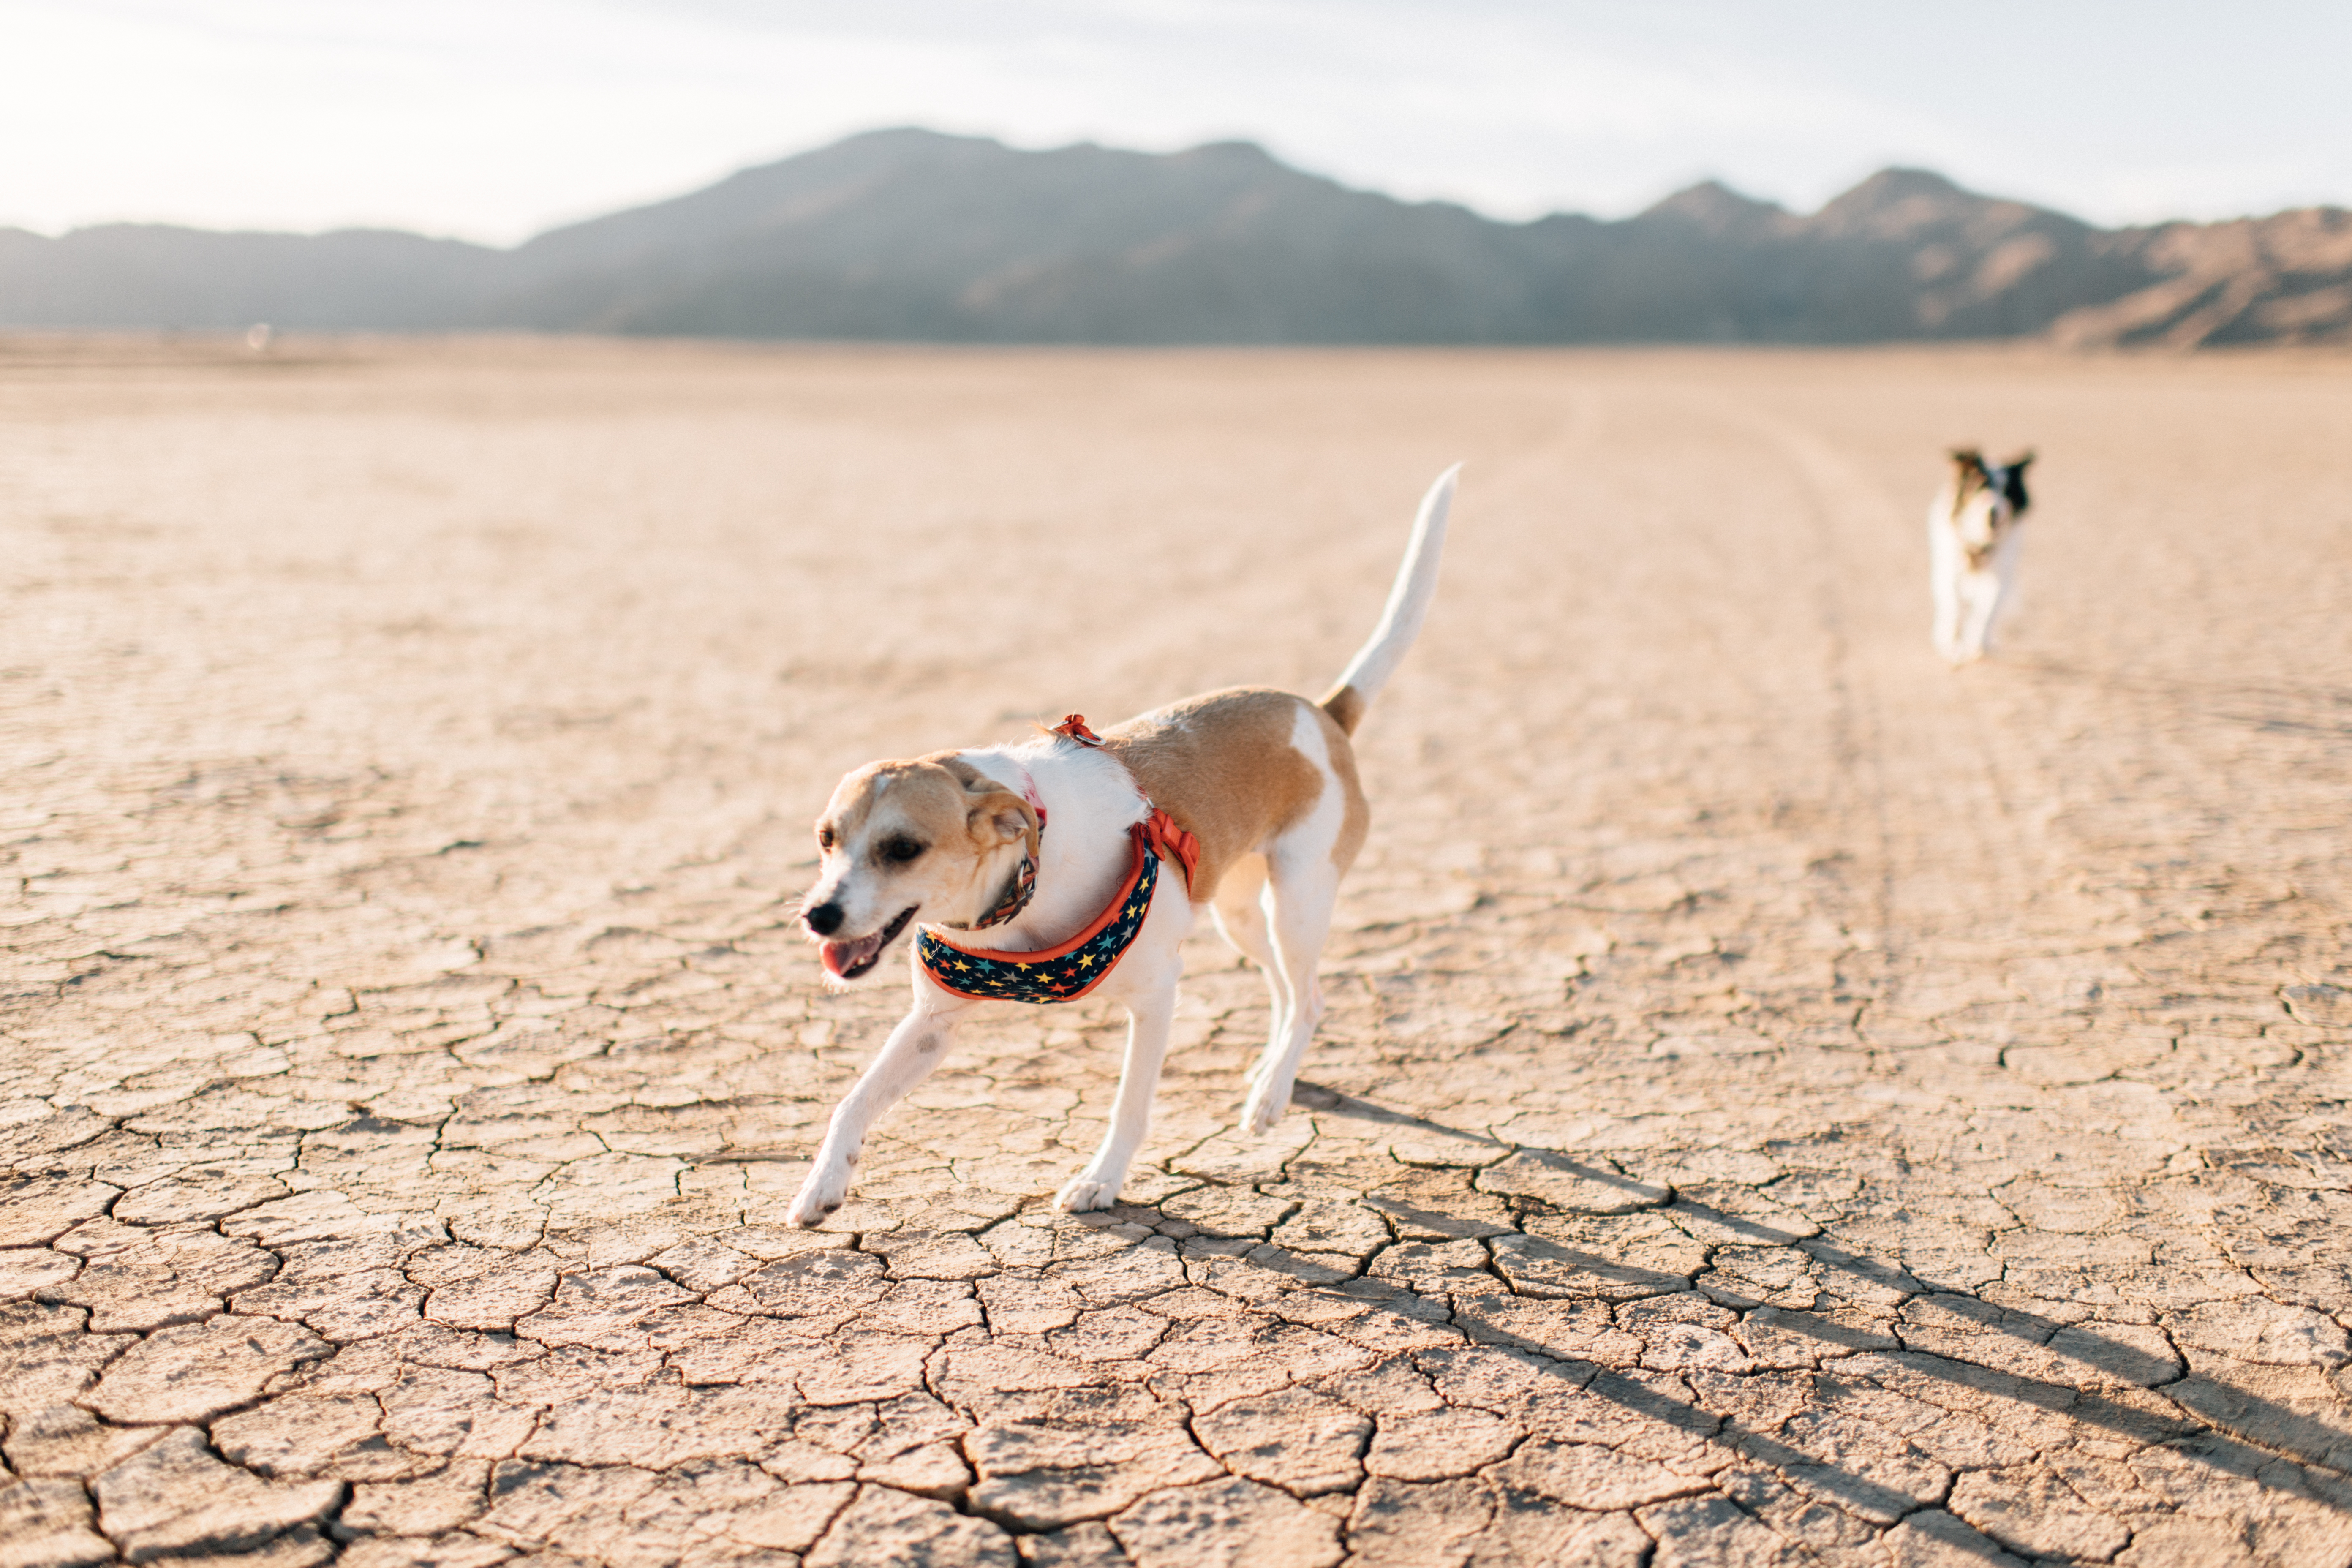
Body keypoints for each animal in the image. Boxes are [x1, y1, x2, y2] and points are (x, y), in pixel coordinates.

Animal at [785, 465, 1448, 1222]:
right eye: (826, 839)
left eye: (902, 848)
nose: (818, 916)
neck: (1027, 878)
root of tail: (1321, 711)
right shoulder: (933, 1023)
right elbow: (851, 1101)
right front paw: (822, 1186)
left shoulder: (1156, 995)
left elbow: (1129, 1108)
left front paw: (1100, 1180)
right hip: (1240, 911)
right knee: (1287, 990)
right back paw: (1269, 1073)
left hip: (1298, 900)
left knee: (1309, 997)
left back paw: (1271, 1098)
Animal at [1928, 446, 2042, 663]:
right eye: (1978, 486)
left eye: (2007, 491)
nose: (1993, 513)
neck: (1980, 545)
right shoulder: (1949, 571)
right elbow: (1954, 608)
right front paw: (1952, 645)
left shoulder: (1999, 576)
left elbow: (1987, 612)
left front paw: (1977, 645)